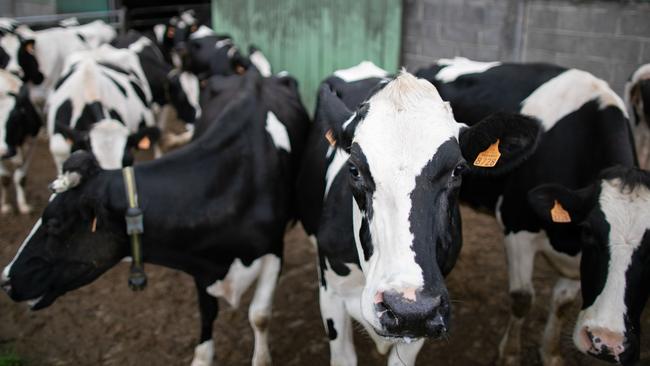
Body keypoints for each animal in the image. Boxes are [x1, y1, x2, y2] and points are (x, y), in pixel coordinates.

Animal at [0, 68, 41, 214]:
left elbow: (21, 177)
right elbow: (4, 178)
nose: (3, 152)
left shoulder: (32, 140)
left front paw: (23, 206)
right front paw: (4, 206)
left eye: (15, 119)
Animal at [416, 55, 644, 364]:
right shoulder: (518, 226)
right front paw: (510, 354)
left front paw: (551, 352)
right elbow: (522, 298)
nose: (606, 342)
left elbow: (562, 303)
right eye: (590, 232)